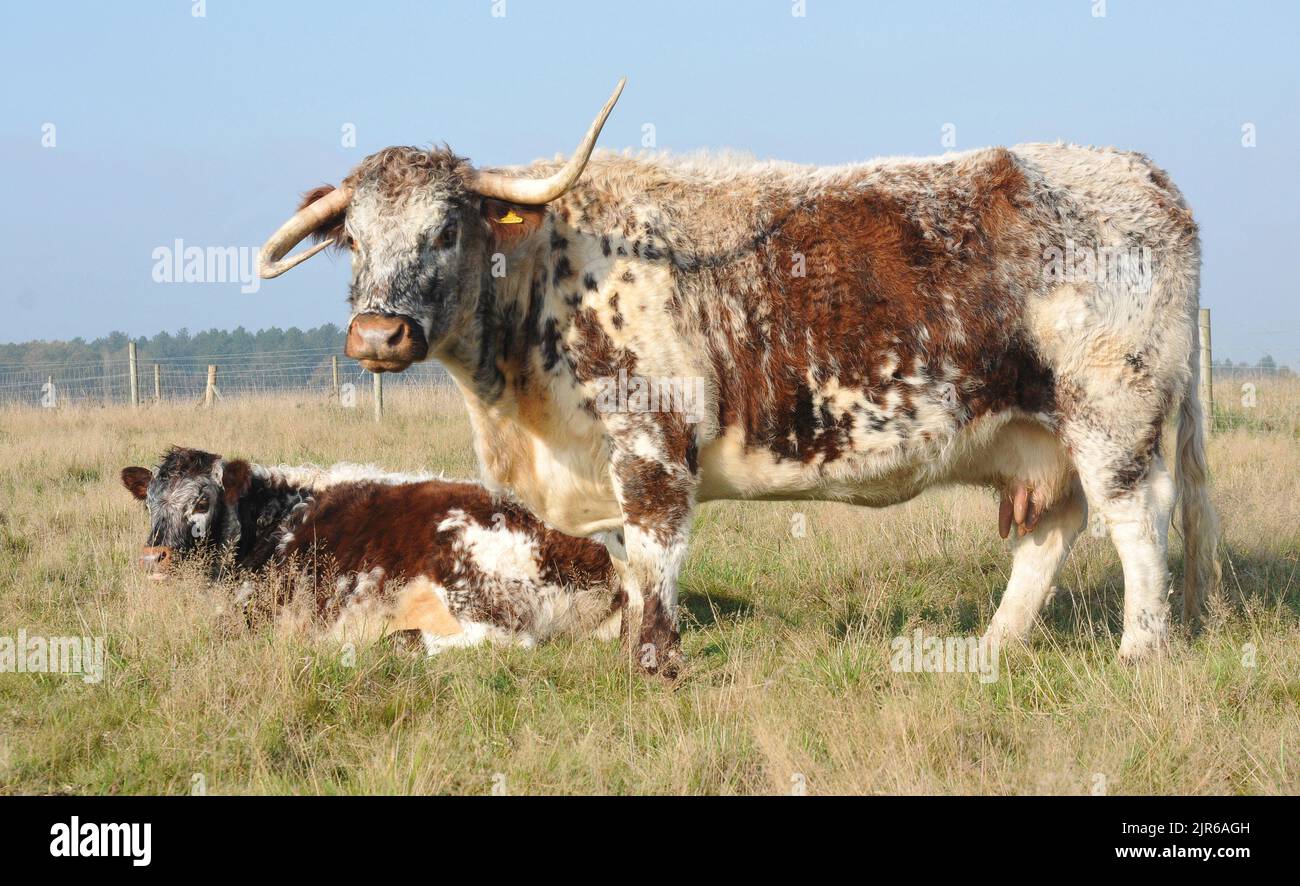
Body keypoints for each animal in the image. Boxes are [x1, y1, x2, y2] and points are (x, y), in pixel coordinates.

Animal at [256, 80, 1219, 676]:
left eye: (447, 230)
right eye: (352, 240)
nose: (377, 332)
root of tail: (1141, 172)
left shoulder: (652, 442)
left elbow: (655, 555)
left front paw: (653, 663)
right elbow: (623, 565)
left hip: (1114, 413)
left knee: (1138, 521)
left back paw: (1139, 652)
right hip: (1040, 432)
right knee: (1051, 531)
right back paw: (993, 646)